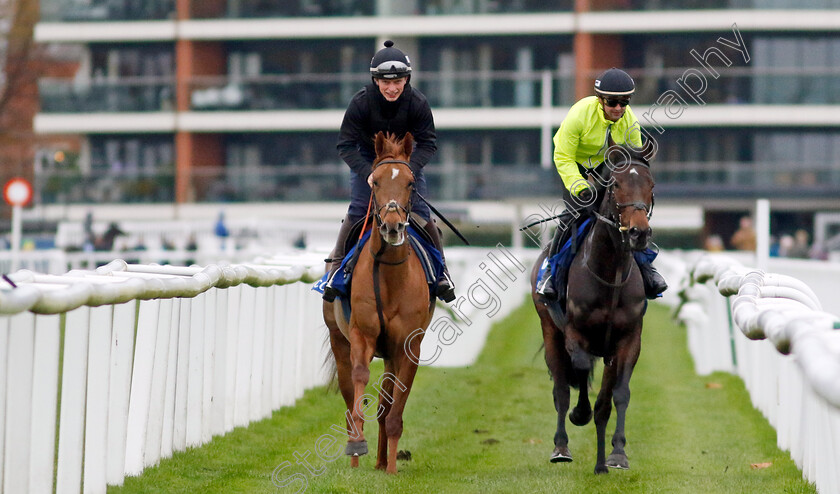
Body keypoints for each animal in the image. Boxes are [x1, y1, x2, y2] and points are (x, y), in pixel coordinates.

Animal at [322, 131, 434, 474]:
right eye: (375, 182)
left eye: (410, 182)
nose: (392, 226)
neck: (389, 277)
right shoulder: (362, 334)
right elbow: (360, 379)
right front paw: (358, 443)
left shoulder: (408, 345)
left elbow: (394, 407)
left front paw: (393, 467)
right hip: (338, 340)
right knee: (349, 396)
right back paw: (356, 456)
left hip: (390, 353)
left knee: (386, 400)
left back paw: (383, 461)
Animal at [532, 146, 656, 474]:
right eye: (616, 185)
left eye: (651, 185)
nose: (639, 232)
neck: (610, 274)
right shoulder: (575, 334)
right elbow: (580, 371)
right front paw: (581, 414)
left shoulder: (628, 339)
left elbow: (619, 393)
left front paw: (617, 453)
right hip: (550, 330)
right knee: (562, 389)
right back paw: (561, 446)